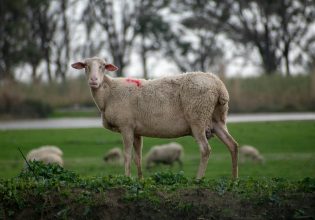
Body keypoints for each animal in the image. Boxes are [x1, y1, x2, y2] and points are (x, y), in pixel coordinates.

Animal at [72, 56, 239, 179]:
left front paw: (126, 179)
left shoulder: (126, 127)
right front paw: (140, 180)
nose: (93, 81)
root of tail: (219, 85)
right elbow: (137, 157)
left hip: (198, 118)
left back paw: (198, 179)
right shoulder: (136, 130)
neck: (108, 94)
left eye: (103, 66)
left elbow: (127, 156)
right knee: (233, 145)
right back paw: (234, 180)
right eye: (86, 66)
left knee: (205, 149)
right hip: (217, 119)